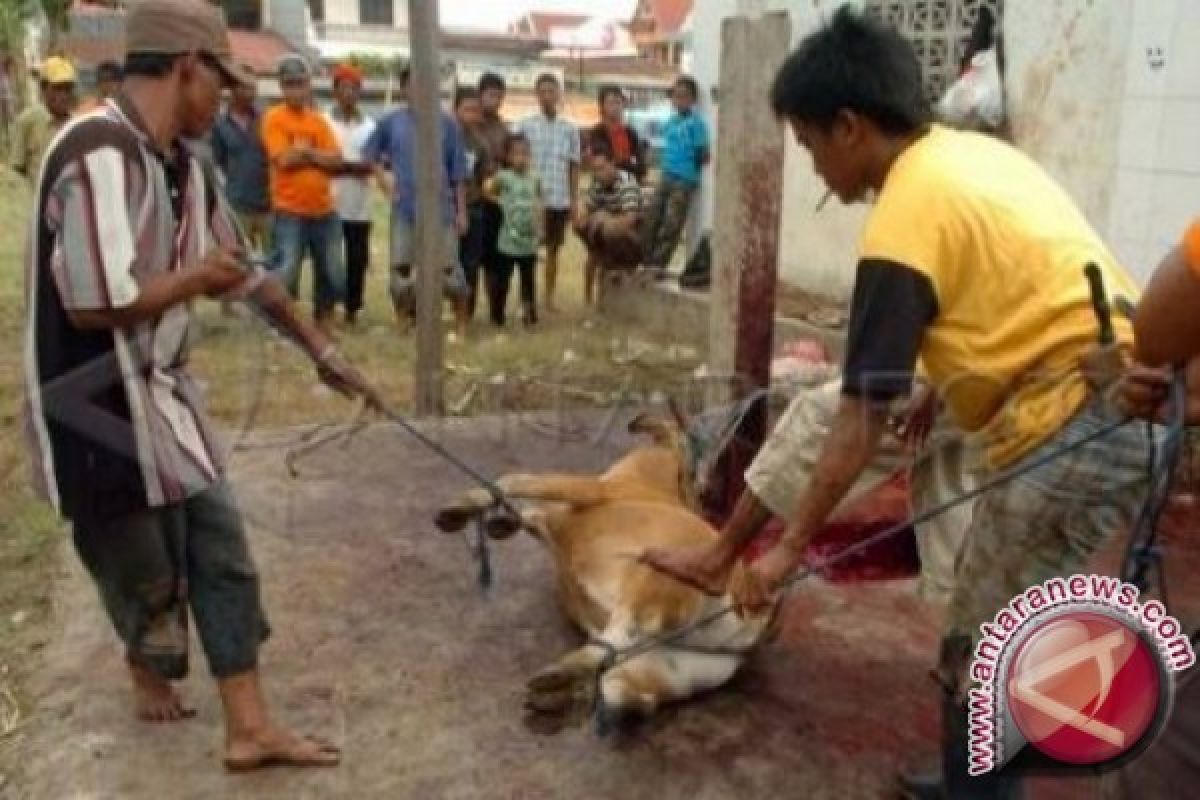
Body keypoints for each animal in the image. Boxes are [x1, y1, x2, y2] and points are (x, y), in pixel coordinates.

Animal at [436, 417, 772, 734]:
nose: (702, 499)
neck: (654, 478)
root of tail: (753, 616)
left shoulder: (584, 488)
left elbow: (515, 480)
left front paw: (461, 509)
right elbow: (529, 512)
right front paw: (499, 522)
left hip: (654, 578)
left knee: (619, 637)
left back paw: (560, 679)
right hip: (665, 665)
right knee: (625, 688)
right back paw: (568, 694)